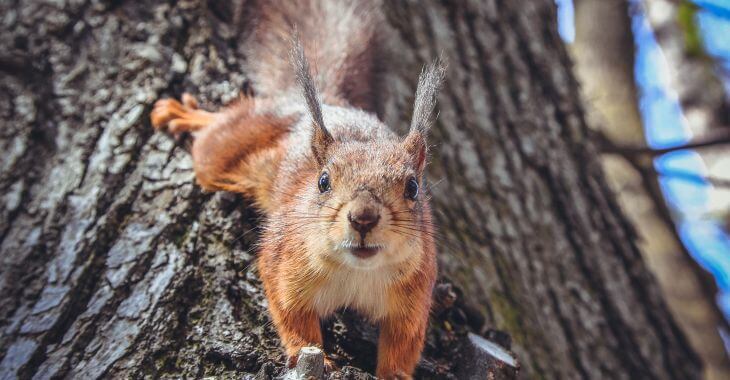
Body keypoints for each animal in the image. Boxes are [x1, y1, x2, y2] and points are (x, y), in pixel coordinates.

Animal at [149, 1, 438, 378]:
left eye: (413, 187)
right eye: (323, 181)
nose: (362, 219)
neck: (357, 271)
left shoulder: (415, 296)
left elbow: (403, 344)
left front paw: (395, 373)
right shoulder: (284, 261)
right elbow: (291, 315)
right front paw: (313, 354)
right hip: (225, 151)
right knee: (218, 132)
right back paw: (187, 115)